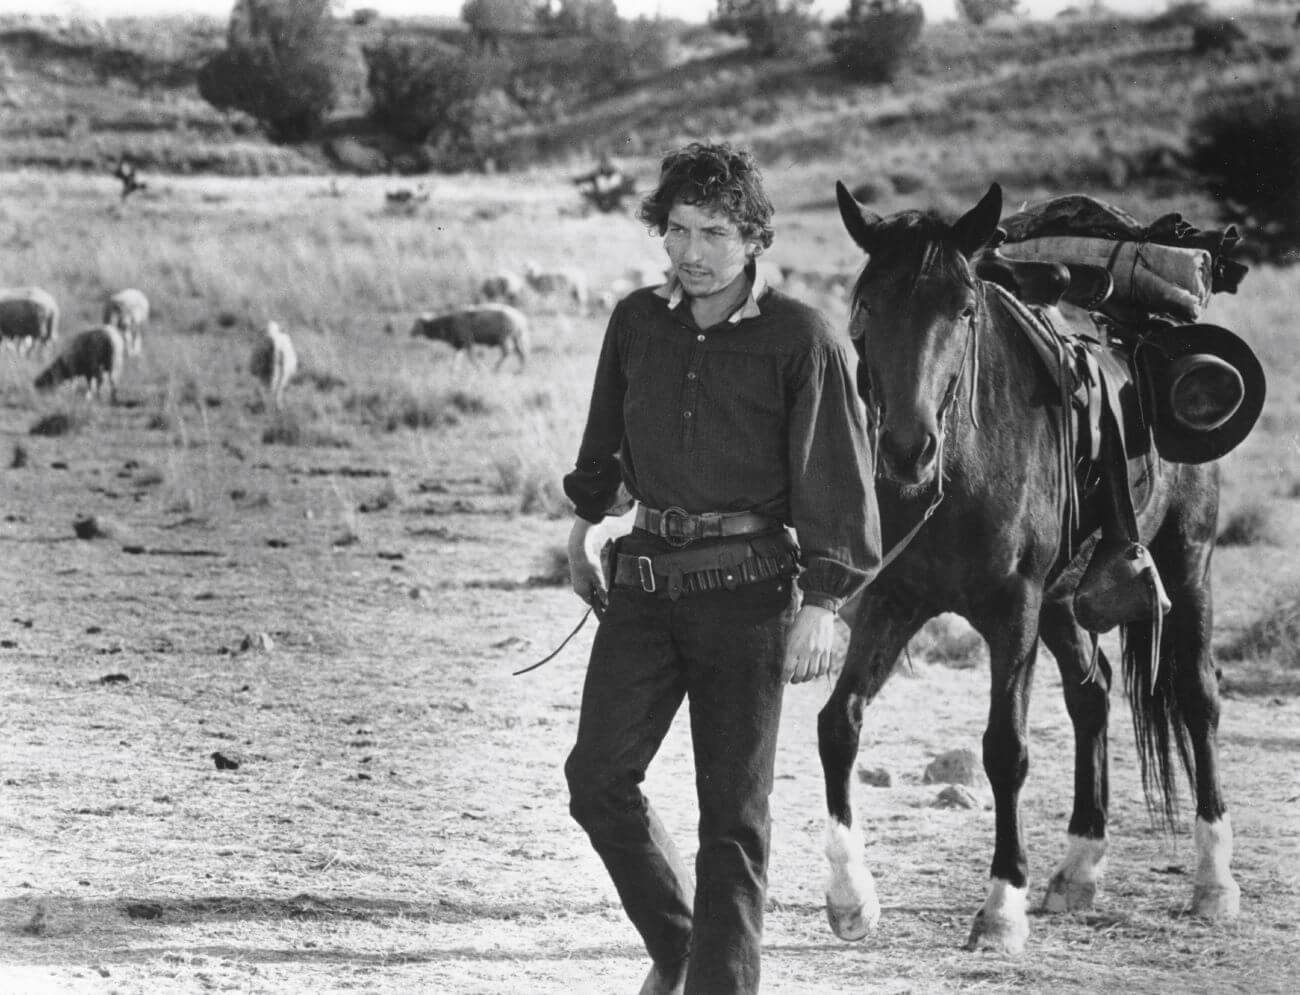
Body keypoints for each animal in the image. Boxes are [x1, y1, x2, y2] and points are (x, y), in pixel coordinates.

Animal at [816, 180, 1242, 957]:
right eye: (864, 307)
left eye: (964, 309)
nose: (907, 451)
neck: (965, 462)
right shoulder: (893, 598)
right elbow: (841, 722)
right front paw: (851, 896)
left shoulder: (1012, 606)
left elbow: (1004, 747)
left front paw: (1000, 907)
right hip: (1064, 603)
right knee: (1093, 693)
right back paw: (1078, 869)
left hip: (1186, 559)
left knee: (1198, 699)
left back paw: (1213, 881)